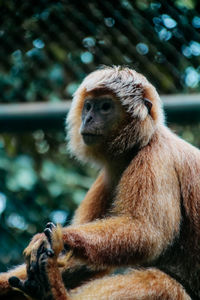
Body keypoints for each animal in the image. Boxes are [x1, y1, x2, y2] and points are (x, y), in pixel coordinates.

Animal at [0, 66, 200, 300]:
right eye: (88, 106)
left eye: (105, 107)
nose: (88, 118)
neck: (139, 145)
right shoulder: (109, 177)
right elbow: (87, 264)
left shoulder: (156, 159)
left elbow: (148, 234)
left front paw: (61, 236)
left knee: (162, 284)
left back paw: (55, 290)